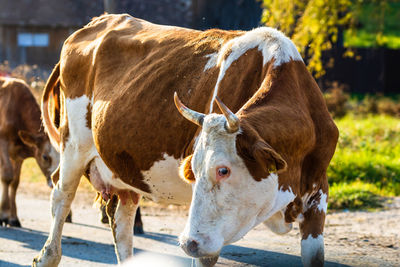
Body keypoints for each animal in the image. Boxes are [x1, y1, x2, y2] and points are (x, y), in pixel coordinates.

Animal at [0, 77, 59, 228]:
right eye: (45, 157)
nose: (53, 182)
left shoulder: (17, 156)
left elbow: (15, 182)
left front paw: (13, 218)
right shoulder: (3, 144)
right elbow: (7, 176)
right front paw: (4, 215)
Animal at [36, 14, 340, 267]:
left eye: (223, 170)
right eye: (193, 170)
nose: (187, 243)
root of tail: (96, 22)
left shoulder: (317, 195)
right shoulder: (206, 237)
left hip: (122, 171)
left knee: (121, 219)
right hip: (74, 145)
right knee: (62, 196)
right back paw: (47, 255)